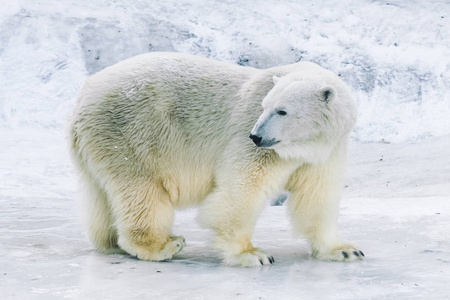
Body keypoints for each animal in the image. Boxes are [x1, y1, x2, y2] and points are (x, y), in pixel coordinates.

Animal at [67, 52, 362, 268]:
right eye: (264, 106)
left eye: (282, 111)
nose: (256, 136)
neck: (304, 145)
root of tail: (83, 95)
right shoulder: (254, 142)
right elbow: (242, 187)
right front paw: (252, 254)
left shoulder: (326, 151)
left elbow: (317, 197)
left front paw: (345, 250)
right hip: (131, 133)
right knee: (142, 191)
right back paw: (163, 244)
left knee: (102, 194)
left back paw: (111, 242)